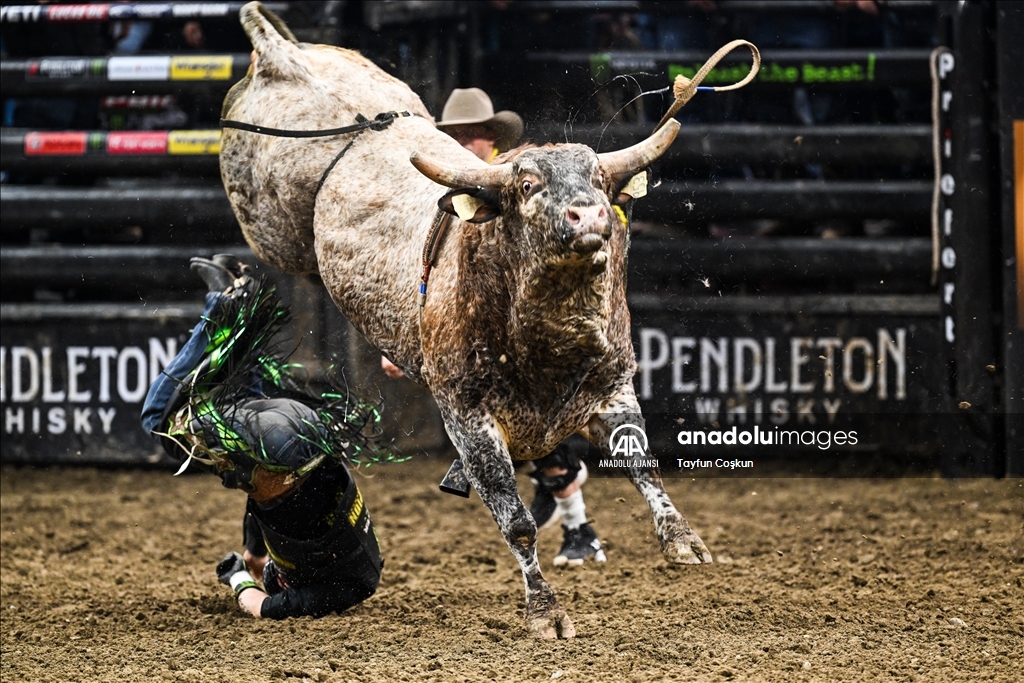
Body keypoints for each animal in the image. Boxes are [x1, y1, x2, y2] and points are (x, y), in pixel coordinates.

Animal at [219, 2, 708, 638]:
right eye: (528, 184)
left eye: (600, 181)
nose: (589, 215)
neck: (547, 341)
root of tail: (286, 60)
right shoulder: (468, 417)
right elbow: (515, 519)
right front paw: (545, 611)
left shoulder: (611, 386)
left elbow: (641, 463)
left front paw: (682, 539)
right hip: (268, 222)